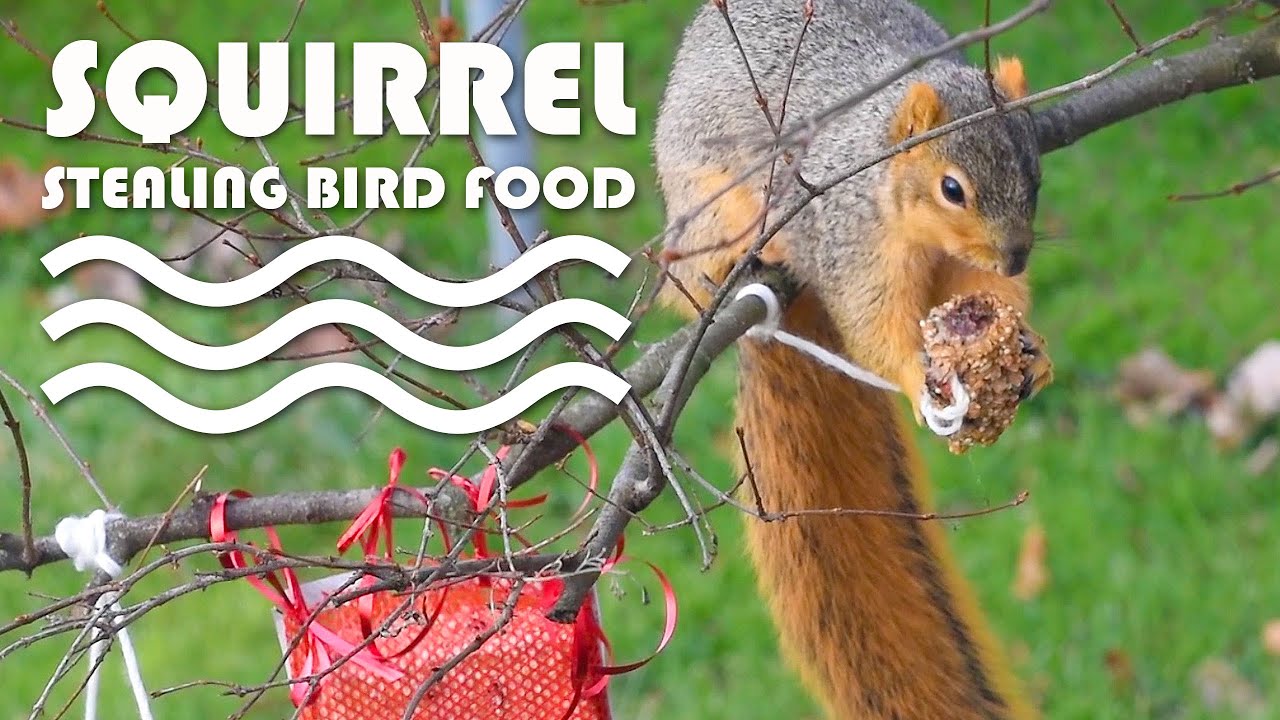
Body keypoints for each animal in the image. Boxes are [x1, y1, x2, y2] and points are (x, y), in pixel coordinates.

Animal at [654, 1, 1052, 719]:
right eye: (952, 188)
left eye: (1036, 173)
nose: (1014, 257)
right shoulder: (850, 238)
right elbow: (874, 324)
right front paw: (919, 383)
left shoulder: (957, 268)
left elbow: (982, 296)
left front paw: (1028, 347)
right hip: (703, 213)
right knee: (697, 270)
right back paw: (741, 261)